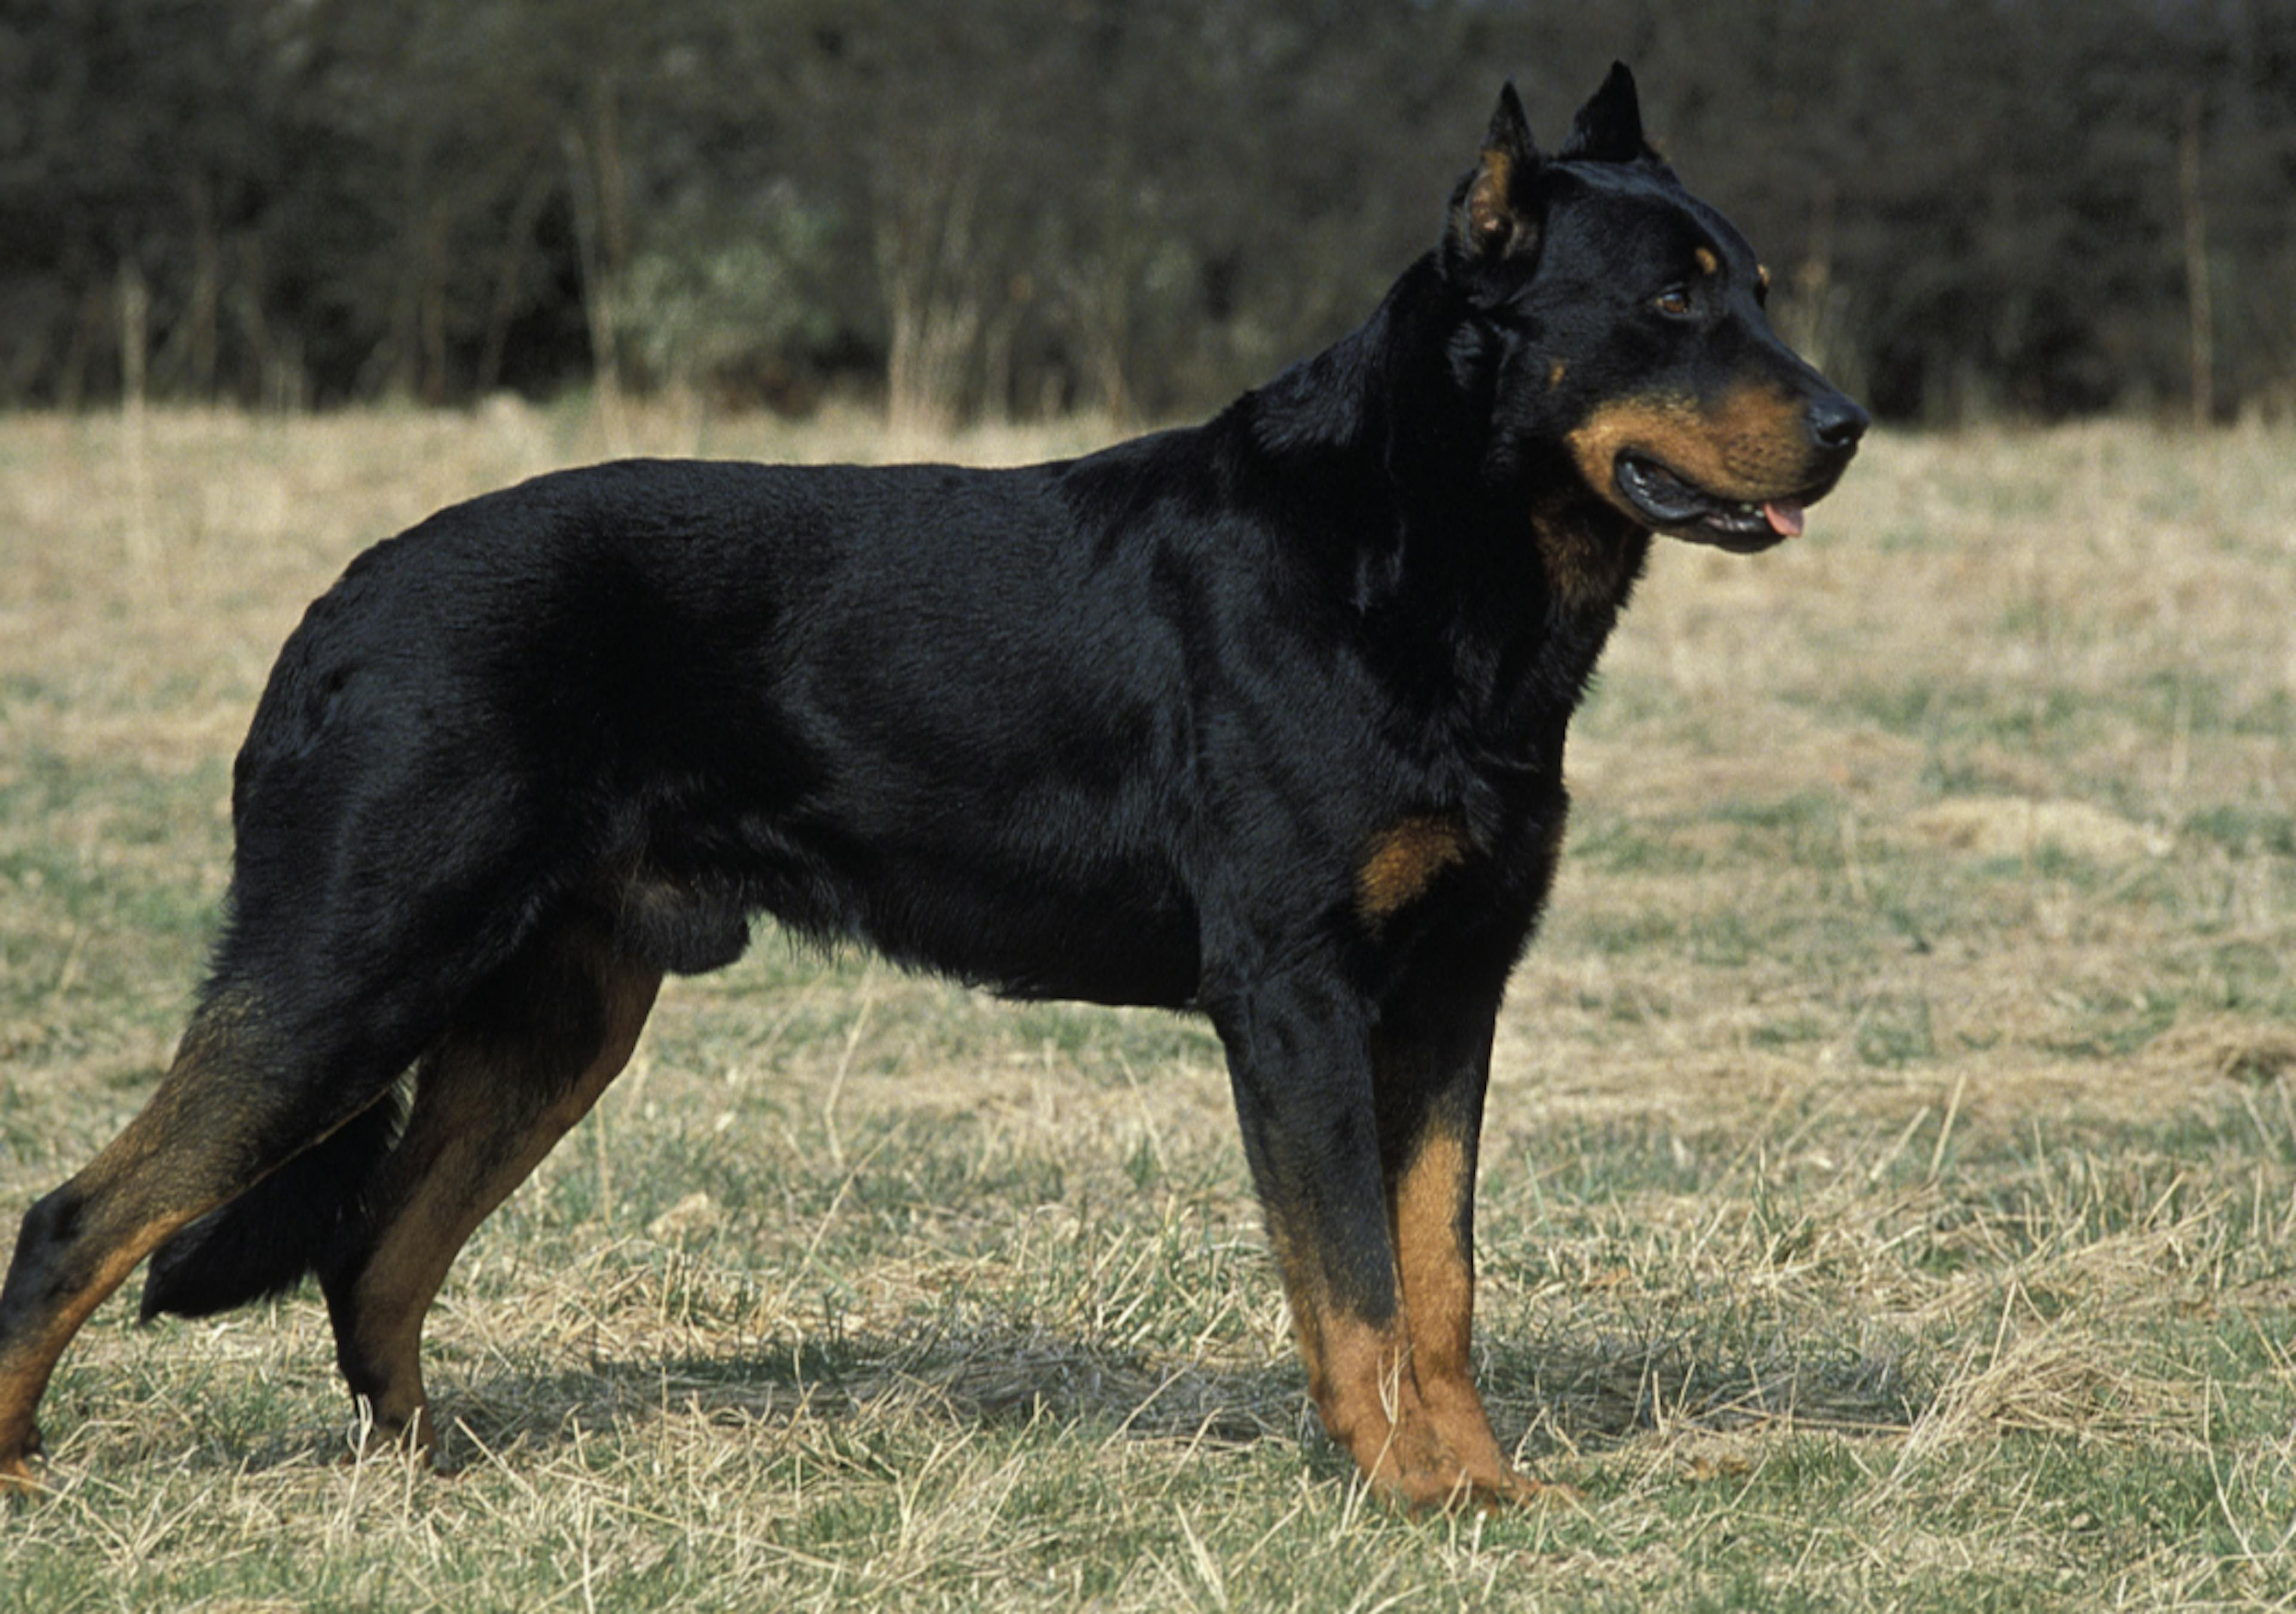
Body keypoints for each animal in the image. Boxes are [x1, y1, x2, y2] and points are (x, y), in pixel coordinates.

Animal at [0, 60, 1855, 1506]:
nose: (1843, 423)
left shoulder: (1453, 990)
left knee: (378, 1254)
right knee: (79, 1219)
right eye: (1672, 302)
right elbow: (1353, 1282)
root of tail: (335, 612)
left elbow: (1440, 1276)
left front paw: (1478, 1486)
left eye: (1757, 287)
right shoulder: (1298, 993)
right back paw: (28, 1467)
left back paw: (426, 1481)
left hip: (553, 1016)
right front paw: (1399, 1488)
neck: (1421, 553)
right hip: (350, 972)